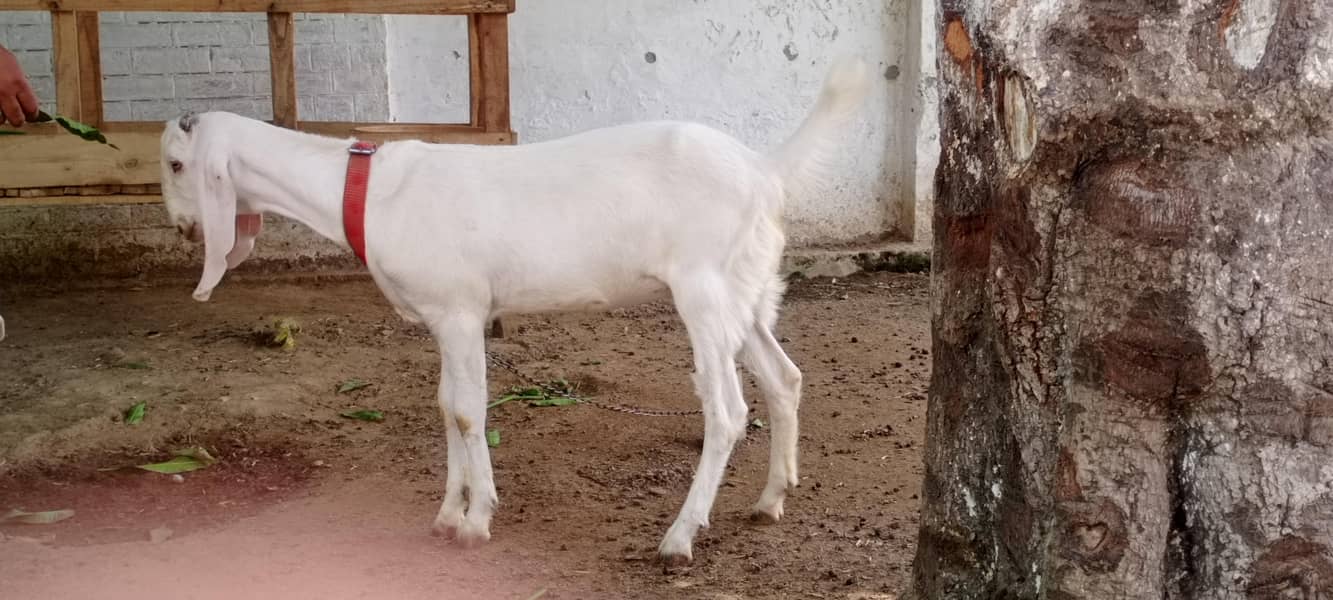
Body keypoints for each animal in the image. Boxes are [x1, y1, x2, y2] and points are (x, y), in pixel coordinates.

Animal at [158, 58, 870, 563]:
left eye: (174, 164)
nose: (184, 231)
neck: (362, 191)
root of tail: (764, 170)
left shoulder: (461, 309)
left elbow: (469, 411)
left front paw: (477, 521)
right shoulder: (444, 316)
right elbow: (446, 404)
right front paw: (448, 514)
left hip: (701, 288)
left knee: (726, 409)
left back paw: (679, 536)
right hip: (744, 288)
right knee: (784, 378)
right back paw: (770, 499)